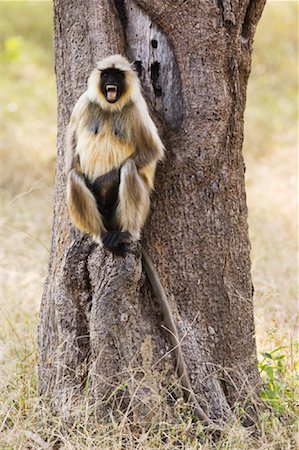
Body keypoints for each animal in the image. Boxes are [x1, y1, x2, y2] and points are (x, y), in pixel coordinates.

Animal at [65, 55, 213, 426]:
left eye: (118, 76)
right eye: (107, 75)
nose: (112, 83)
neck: (109, 107)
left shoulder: (136, 109)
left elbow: (150, 151)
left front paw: (106, 179)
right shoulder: (84, 104)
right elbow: (71, 155)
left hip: (135, 207)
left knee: (130, 170)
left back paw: (126, 234)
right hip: (100, 217)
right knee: (75, 174)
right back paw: (101, 237)